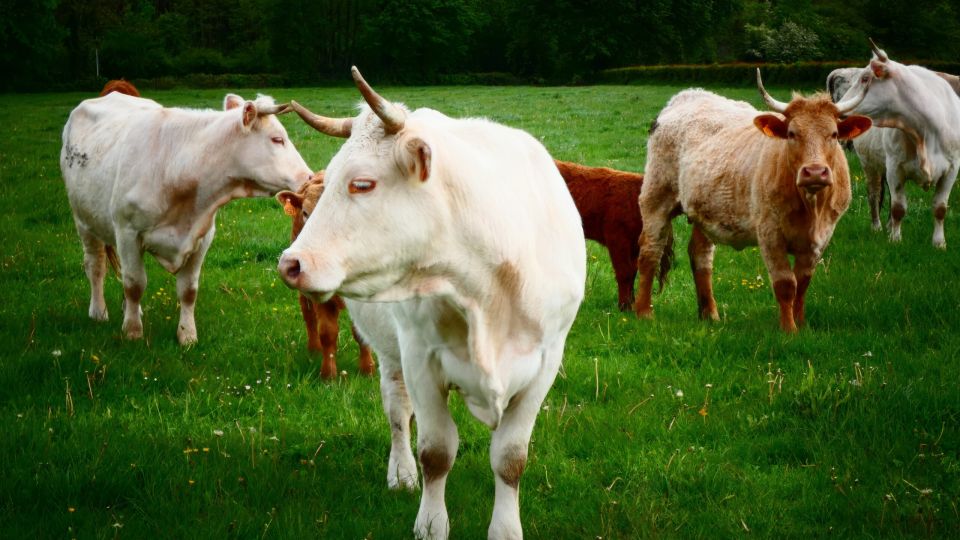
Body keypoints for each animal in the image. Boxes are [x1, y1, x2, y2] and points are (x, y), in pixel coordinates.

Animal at [60, 88, 314, 342]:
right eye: (277, 139)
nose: (309, 177)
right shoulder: (127, 232)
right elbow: (134, 284)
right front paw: (132, 331)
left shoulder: (202, 237)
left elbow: (188, 290)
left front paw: (187, 335)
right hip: (83, 220)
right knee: (95, 265)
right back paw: (98, 311)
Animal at [274, 174, 376, 380]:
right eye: (305, 212)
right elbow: (327, 332)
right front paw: (328, 374)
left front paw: (367, 368)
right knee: (309, 317)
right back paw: (314, 350)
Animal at [552, 160, 672, 310]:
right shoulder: (617, 240)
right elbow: (624, 272)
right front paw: (624, 306)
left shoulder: (633, 246)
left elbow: (632, 272)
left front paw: (630, 303)